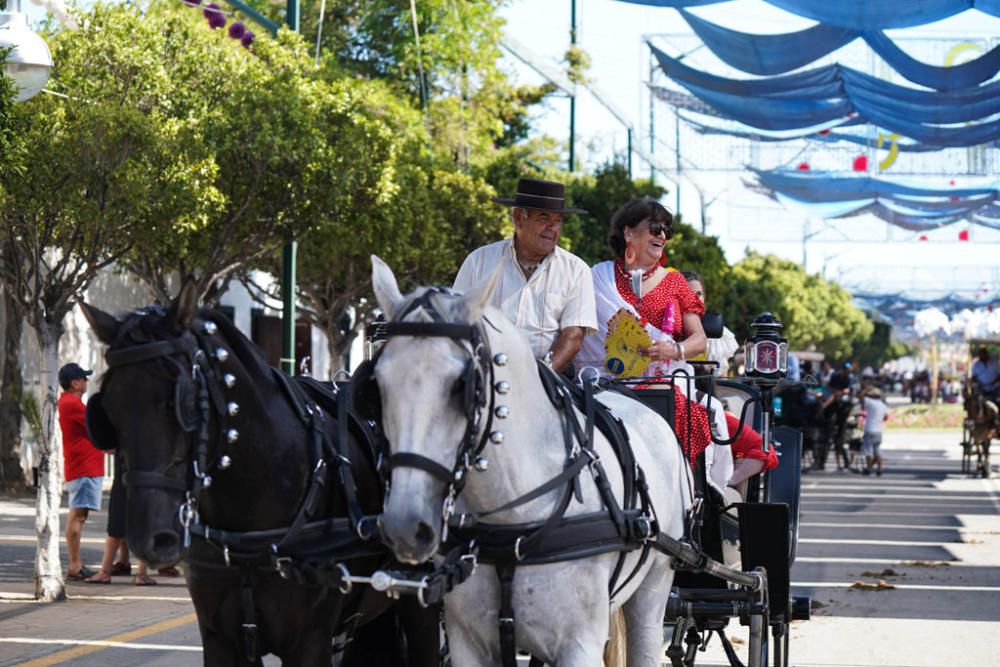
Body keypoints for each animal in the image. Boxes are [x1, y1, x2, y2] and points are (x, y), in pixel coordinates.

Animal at [372, 258, 692, 667]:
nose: (405, 526)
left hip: (655, 584)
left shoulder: (579, 644)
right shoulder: (466, 642)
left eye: (461, 385)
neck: (513, 522)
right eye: (378, 384)